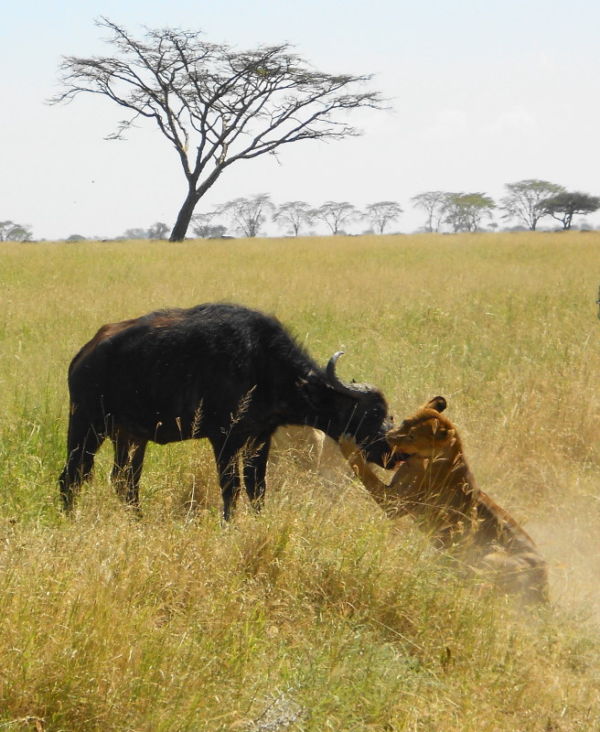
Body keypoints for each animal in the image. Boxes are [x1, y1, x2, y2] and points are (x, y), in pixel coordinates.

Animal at [58, 304, 392, 520]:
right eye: (371, 414)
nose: (390, 452)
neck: (263, 365)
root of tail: (84, 355)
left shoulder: (259, 438)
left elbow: (257, 487)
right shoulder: (224, 439)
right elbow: (232, 487)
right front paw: (228, 524)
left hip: (130, 437)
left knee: (125, 482)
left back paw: (138, 521)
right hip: (87, 427)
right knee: (72, 476)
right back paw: (71, 520)